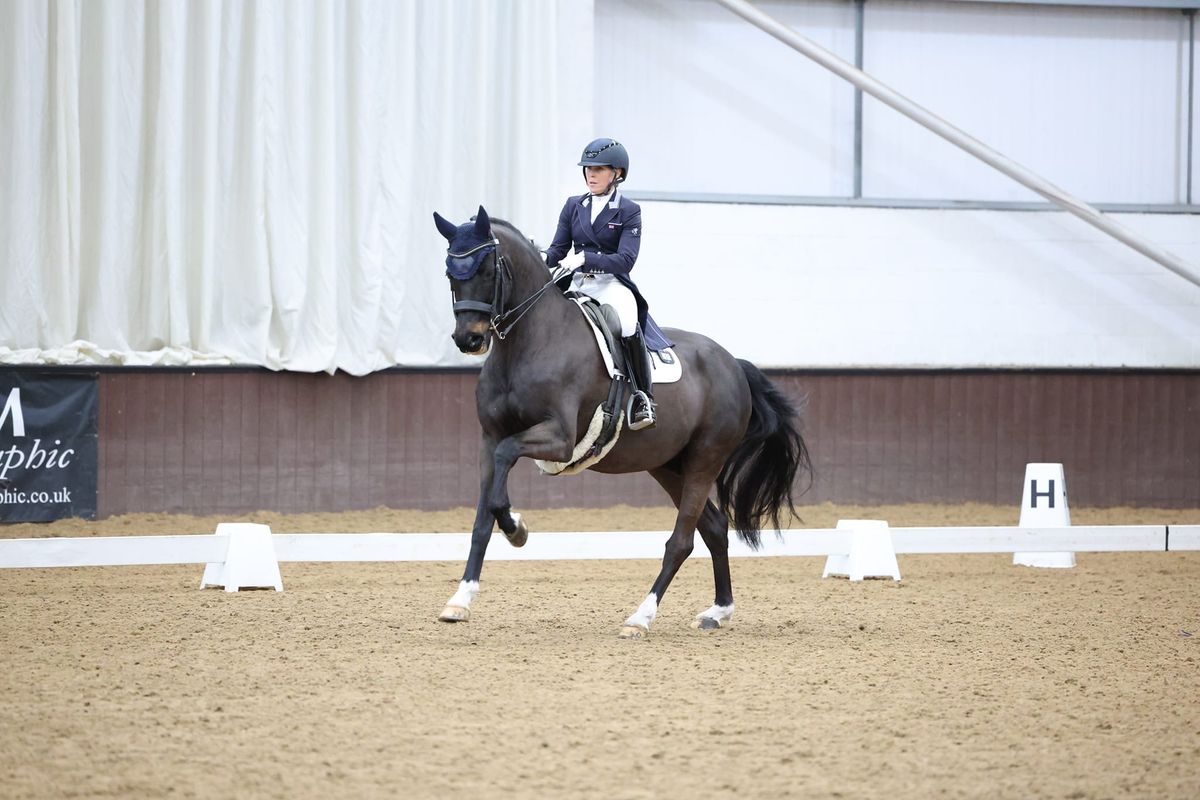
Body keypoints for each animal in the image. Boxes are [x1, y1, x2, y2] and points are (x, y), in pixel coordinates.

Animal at [432, 206, 816, 638]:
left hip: (705, 459)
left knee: (682, 540)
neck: (526, 345)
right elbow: (483, 516)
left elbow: (505, 462)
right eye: (450, 272)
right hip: (668, 465)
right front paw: (461, 599)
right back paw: (718, 611)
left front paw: (517, 529)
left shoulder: (559, 438)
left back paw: (640, 617)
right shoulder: (488, 438)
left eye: (486, 269)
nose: (469, 340)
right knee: (715, 528)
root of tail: (733, 364)